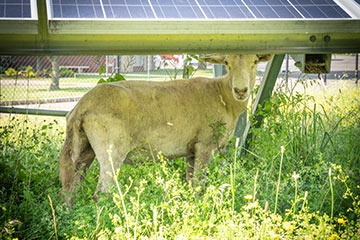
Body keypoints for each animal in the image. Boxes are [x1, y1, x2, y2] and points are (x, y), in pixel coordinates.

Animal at [59, 54, 272, 204]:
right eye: (227, 62)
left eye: (255, 61)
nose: (241, 90)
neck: (224, 96)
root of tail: (82, 105)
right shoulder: (205, 145)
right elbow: (199, 186)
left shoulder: (191, 149)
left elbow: (190, 184)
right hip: (112, 149)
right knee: (100, 194)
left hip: (82, 148)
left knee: (70, 188)